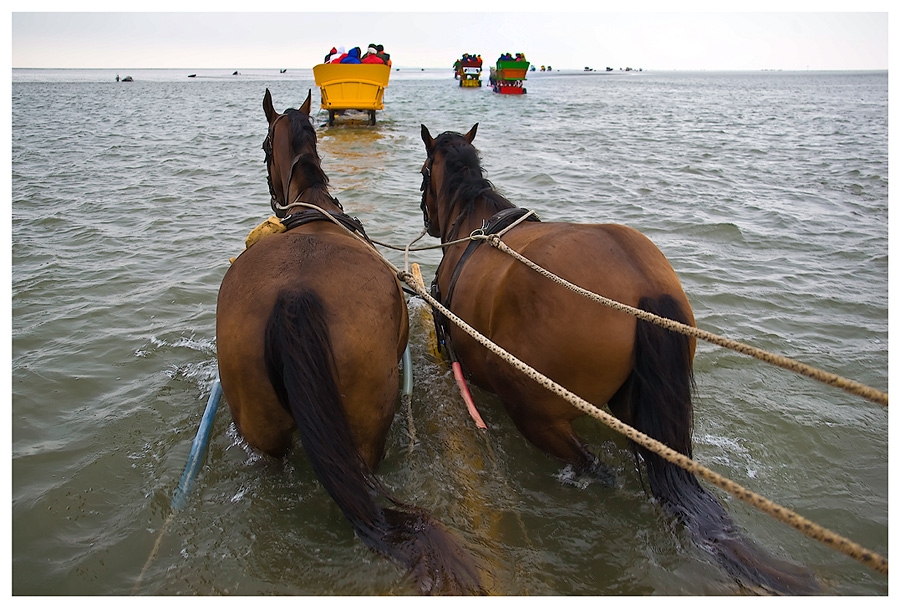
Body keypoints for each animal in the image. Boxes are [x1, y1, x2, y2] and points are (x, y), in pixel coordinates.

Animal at [418, 123, 820, 592]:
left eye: (423, 171)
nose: (426, 217)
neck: (474, 221)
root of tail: (644, 285)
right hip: (634, 408)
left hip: (536, 414)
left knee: (594, 468)